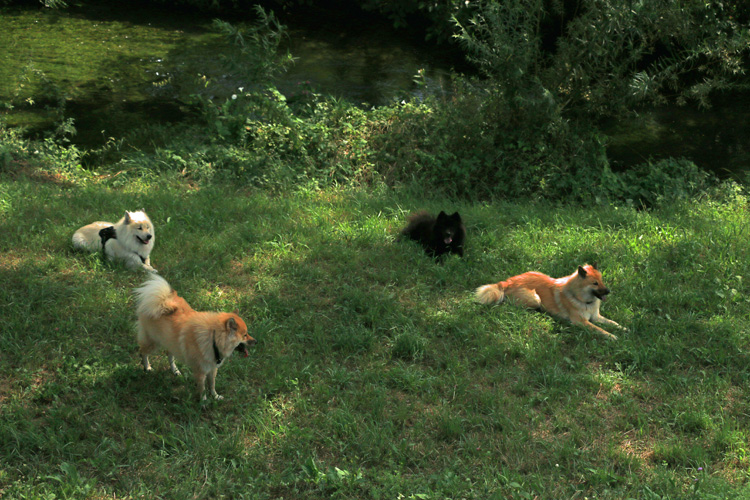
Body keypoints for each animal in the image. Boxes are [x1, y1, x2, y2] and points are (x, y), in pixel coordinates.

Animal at [476, 262, 628, 340]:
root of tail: (508, 281)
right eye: (595, 283)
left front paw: (624, 329)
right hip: (535, 298)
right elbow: (599, 329)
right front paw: (612, 336)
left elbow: (613, 323)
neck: (581, 298)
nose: (608, 291)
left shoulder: (596, 317)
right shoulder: (581, 322)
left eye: (601, 280)